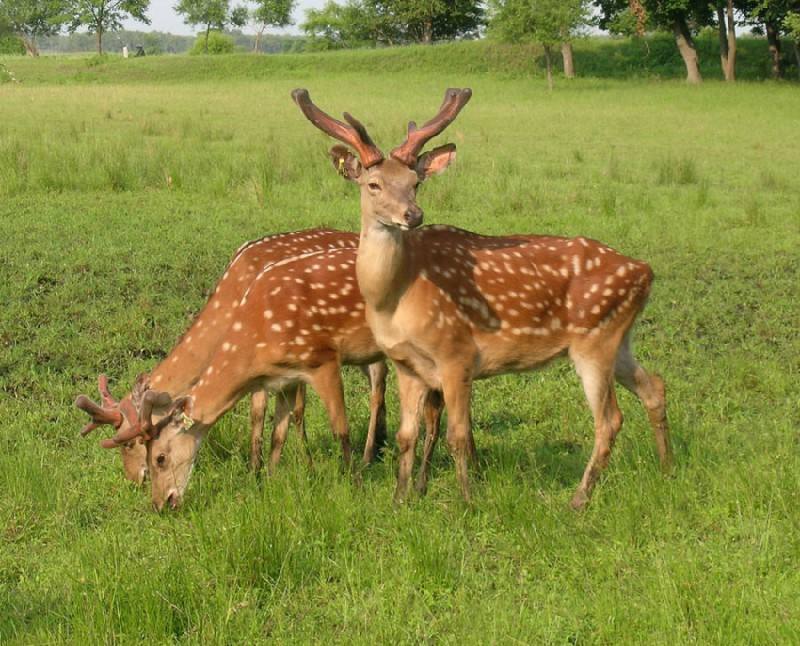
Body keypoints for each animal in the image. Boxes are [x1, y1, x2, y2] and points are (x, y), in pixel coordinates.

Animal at [290, 88, 672, 508]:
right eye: (373, 184)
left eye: (415, 182)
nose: (413, 215)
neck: (395, 298)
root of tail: (645, 271)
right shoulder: (407, 364)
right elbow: (407, 436)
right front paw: (400, 499)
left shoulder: (456, 353)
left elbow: (458, 435)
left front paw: (466, 499)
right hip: (618, 339)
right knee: (654, 387)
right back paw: (667, 468)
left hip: (595, 340)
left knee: (609, 420)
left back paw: (578, 499)